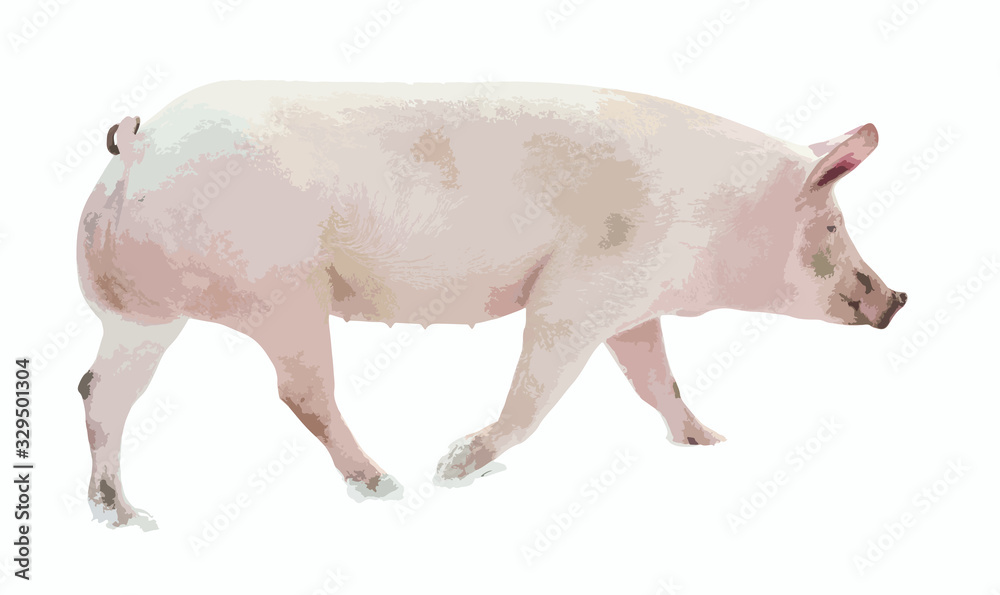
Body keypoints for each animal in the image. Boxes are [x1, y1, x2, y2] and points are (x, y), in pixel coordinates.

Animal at [76, 82, 906, 529]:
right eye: (833, 226)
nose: (897, 297)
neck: (716, 219)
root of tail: (140, 143)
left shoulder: (635, 307)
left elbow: (656, 380)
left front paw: (711, 442)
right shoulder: (584, 289)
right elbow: (539, 386)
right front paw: (454, 468)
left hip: (141, 313)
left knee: (99, 390)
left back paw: (121, 515)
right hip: (283, 293)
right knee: (301, 390)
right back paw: (386, 482)